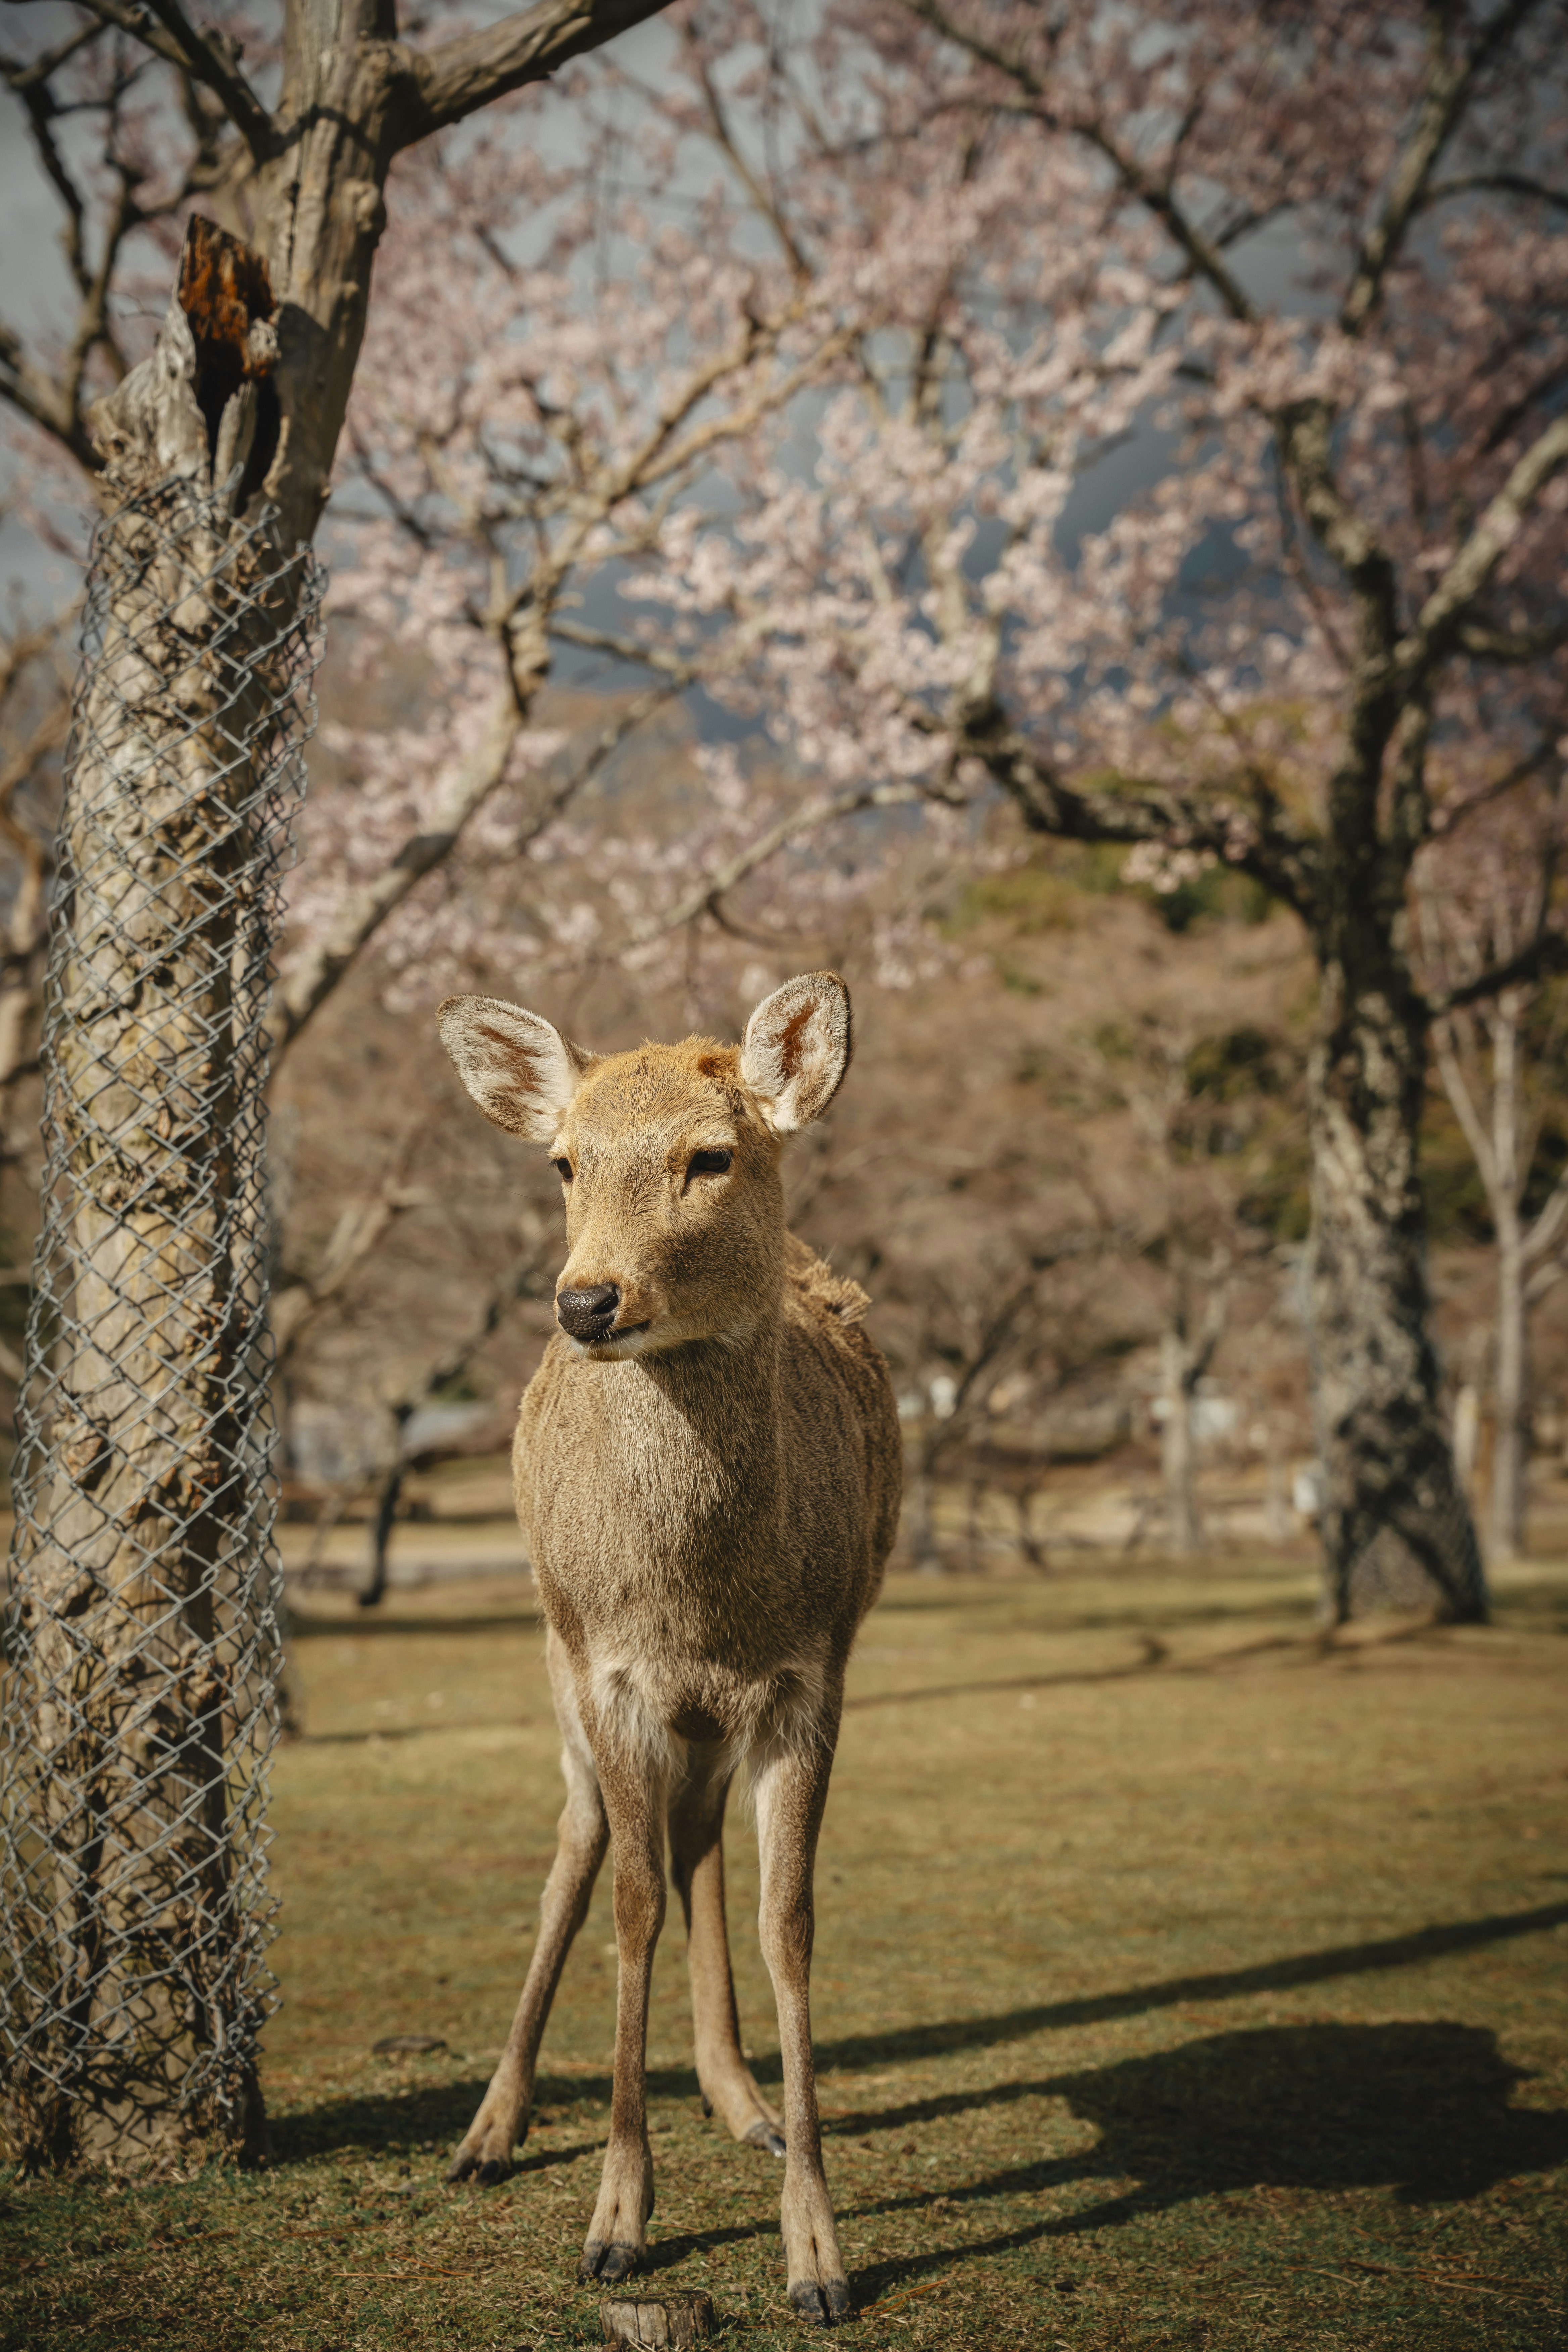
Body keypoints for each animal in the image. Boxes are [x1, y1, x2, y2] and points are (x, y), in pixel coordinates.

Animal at [435, 971, 902, 2328]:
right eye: (562, 1162)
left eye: (711, 1155)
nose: (587, 1300)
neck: (700, 1604)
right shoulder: (613, 1671)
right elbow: (629, 1905)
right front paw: (615, 2226)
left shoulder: (811, 1672)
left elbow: (787, 1915)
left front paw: (818, 2253)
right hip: (554, 1655)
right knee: (582, 1844)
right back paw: (486, 2130)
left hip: (710, 1718)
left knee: (697, 1839)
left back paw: (741, 2100)